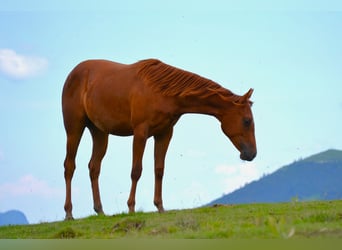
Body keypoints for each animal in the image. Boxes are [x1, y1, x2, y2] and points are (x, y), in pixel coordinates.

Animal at [61, 58, 255, 219]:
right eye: (247, 121)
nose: (251, 154)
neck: (162, 91)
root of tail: (72, 74)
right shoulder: (140, 133)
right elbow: (136, 171)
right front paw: (131, 208)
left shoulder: (164, 134)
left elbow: (159, 170)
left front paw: (160, 207)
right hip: (74, 129)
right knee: (69, 166)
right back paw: (69, 213)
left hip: (100, 132)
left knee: (94, 167)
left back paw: (100, 210)